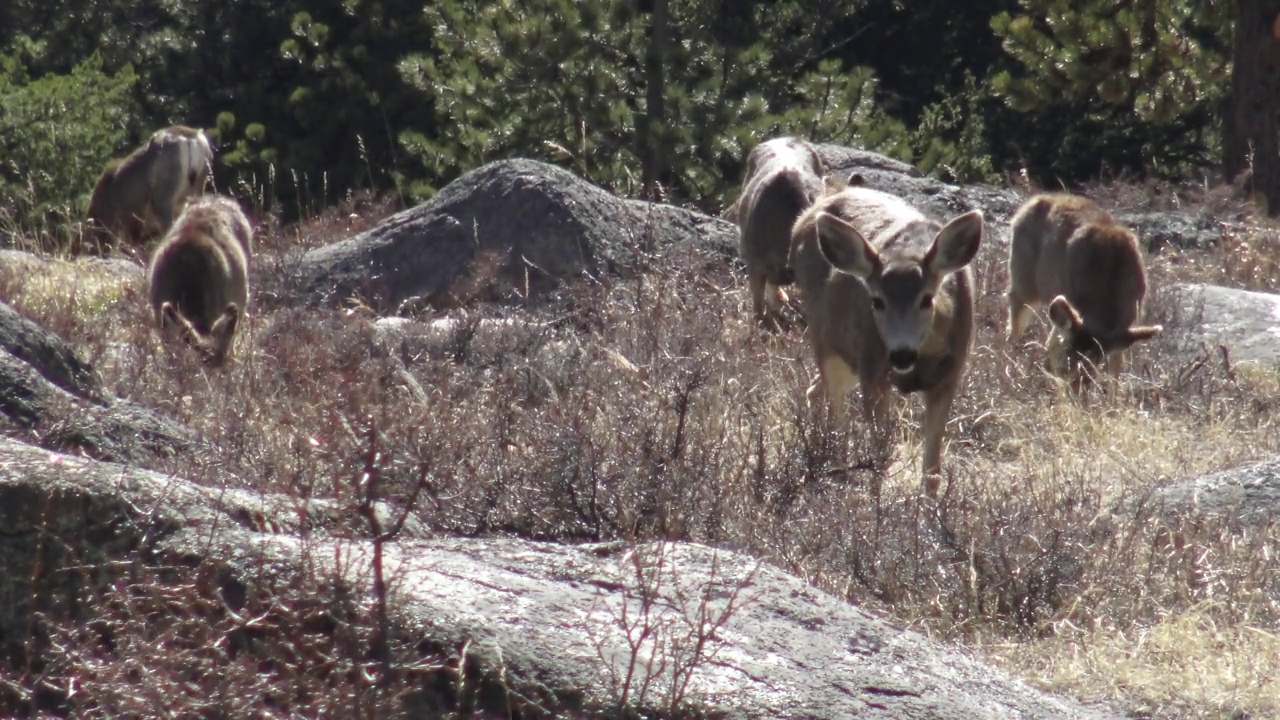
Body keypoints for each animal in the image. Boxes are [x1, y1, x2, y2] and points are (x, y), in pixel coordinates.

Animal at [783, 176, 983, 497]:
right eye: (877, 301)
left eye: (927, 298)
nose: (901, 353)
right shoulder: (873, 371)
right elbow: (879, 456)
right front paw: (877, 504)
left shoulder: (950, 376)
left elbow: (932, 468)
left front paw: (931, 508)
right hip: (826, 338)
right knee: (835, 407)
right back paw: (835, 470)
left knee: (815, 390)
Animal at [1008, 192, 1162, 386]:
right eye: (1065, 366)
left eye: (1091, 374)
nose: (1073, 390)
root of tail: (1035, 199)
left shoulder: (1124, 326)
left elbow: (1116, 368)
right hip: (1024, 281)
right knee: (1016, 322)